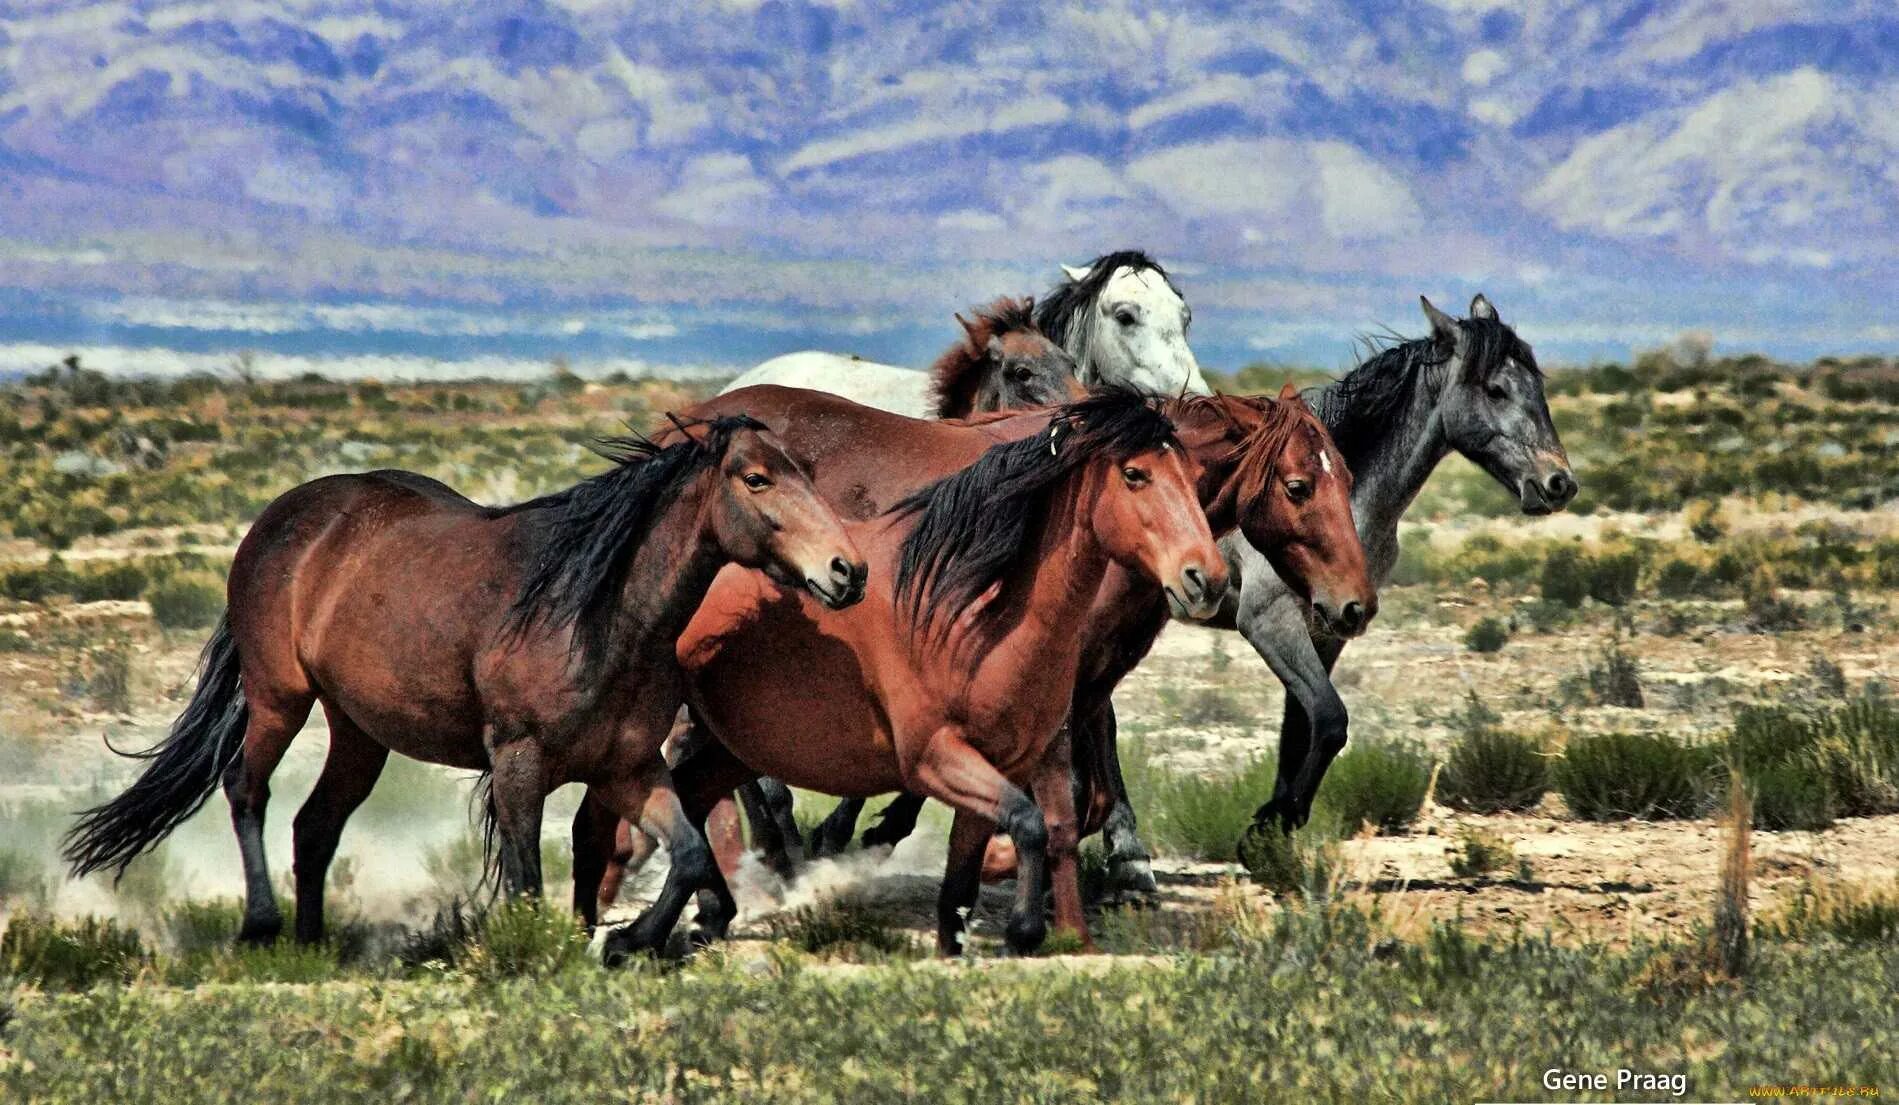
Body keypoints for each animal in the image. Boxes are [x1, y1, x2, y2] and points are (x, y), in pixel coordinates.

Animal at [65, 415, 869, 953]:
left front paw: (628, 938)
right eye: (757, 478)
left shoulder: (631, 767)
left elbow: (691, 852)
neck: (596, 614)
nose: (848, 570)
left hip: (359, 731)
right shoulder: (518, 762)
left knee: (315, 823)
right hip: (277, 699)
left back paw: (313, 940)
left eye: (805, 473)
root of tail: (283, 518)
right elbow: (526, 879)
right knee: (246, 789)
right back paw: (262, 926)